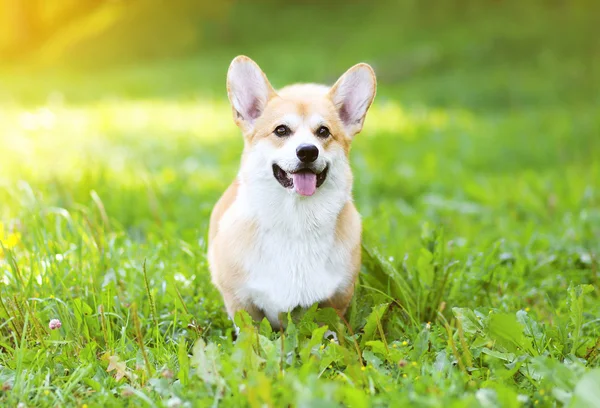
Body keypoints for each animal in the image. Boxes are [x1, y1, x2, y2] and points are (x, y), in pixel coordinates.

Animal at [207, 55, 376, 328]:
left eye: (323, 131)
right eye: (281, 130)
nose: (307, 151)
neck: (296, 220)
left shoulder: (336, 302)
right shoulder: (241, 303)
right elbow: (252, 332)